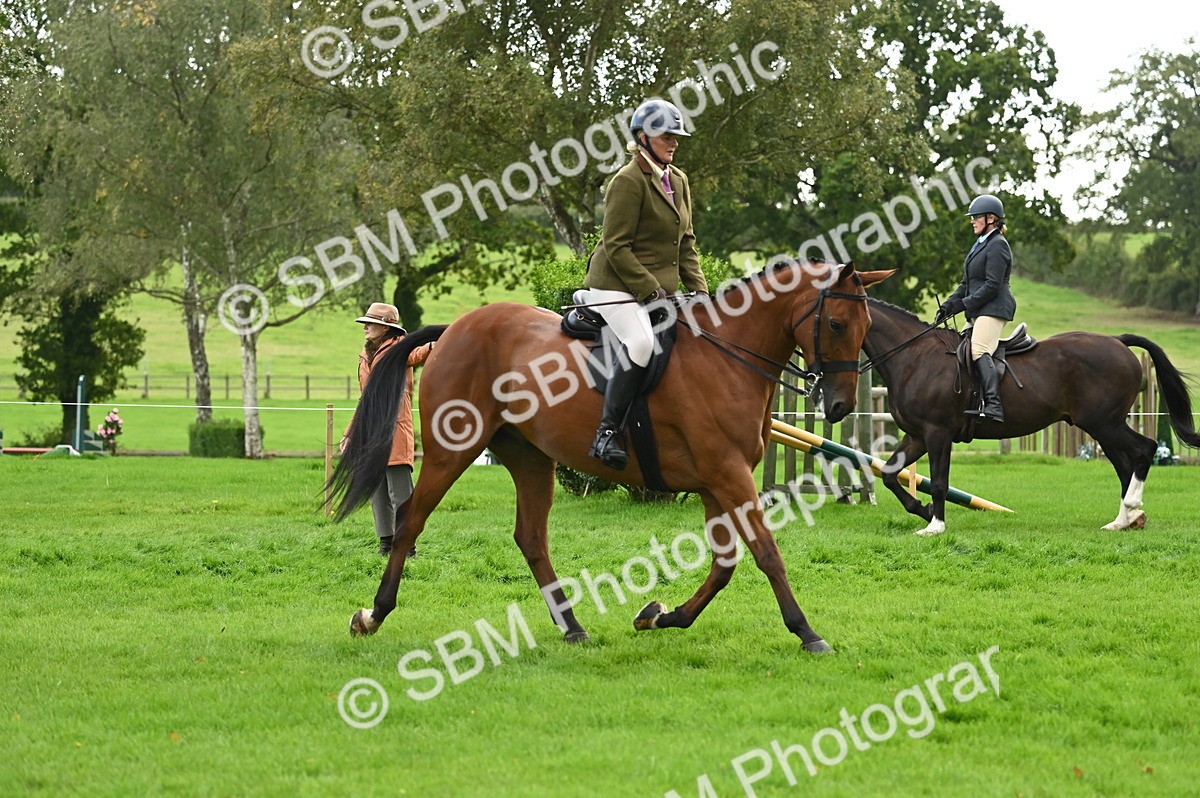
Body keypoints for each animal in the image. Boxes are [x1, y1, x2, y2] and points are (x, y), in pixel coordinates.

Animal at [330, 261, 893, 654]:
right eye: (837, 323)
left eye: (866, 325)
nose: (839, 406)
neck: (727, 355)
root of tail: (455, 329)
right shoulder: (728, 475)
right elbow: (766, 553)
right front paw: (807, 632)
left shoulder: (718, 481)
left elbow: (725, 563)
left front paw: (660, 615)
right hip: (454, 449)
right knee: (411, 519)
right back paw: (373, 614)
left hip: (531, 458)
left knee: (530, 537)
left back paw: (573, 627)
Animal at [862, 298, 1200, 535]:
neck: (914, 357)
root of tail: (1117, 340)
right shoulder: (917, 436)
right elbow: (890, 475)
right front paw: (923, 509)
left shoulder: (937, 433)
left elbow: (939, 482)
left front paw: (935, 526)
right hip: (1104, 427)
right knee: (1125, 465)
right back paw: (1123, 521)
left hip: (1105, 423)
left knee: (1144, 450)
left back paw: (1131, 508)